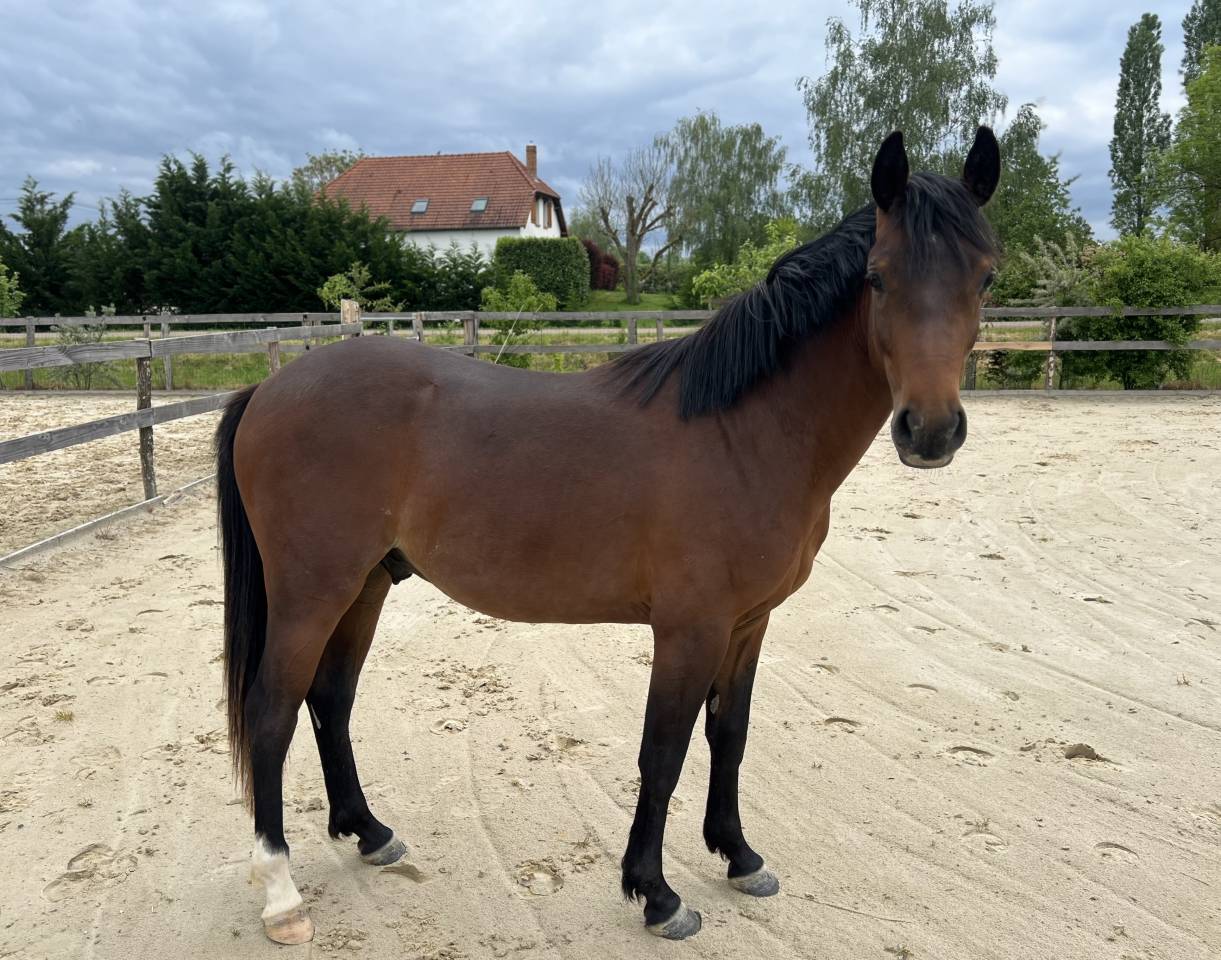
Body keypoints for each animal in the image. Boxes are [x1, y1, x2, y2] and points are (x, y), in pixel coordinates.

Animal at [215, 127, 1001, 944]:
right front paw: (656, 895)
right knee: (272, 712)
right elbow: (663, 752)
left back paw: (369, 833)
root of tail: (267, 388)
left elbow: (729, 736)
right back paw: (281, 894)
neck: (746, 431)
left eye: (985, 278)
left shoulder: (748, 623)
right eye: (877, 278)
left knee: (330, 699)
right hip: (313, 592)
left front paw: (739, 857)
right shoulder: (690, 628)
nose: (930, 431)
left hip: (366, 584)